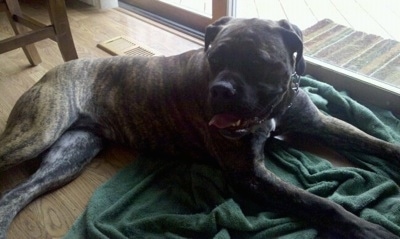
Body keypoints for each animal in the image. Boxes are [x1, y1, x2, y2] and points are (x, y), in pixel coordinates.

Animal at [0, 17, 400, 238]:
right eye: (215, 57)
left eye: (258, 61)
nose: (220, 90)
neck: (273, 109)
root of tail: (53, 70)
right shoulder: (250, 174)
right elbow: (318, 203)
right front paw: (369, 230)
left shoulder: (320, 122)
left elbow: (374, 141)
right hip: (38, 133)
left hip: (70, 156)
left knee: (17, 193)